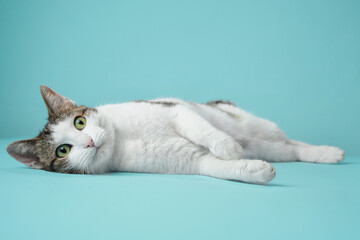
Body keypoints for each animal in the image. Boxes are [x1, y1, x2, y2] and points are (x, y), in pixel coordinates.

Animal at [4, 85, 344, 185]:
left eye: (79, 122)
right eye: (63, 151)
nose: (88, 141)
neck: (122, 139)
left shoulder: (175, 112)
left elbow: (202, 130)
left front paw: (227, 146)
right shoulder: (188, 161)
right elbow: (215, 166)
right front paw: (252, 169)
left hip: (258, 126)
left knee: (290, 141)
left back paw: (329, 151)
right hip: (268, 145)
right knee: (291, 150)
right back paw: (325, 154)